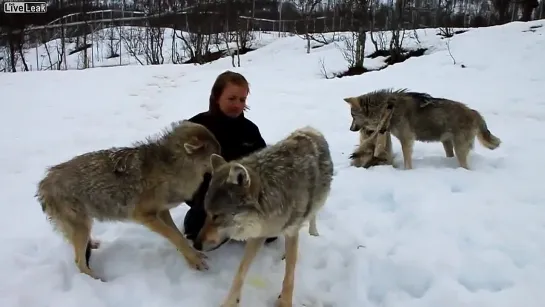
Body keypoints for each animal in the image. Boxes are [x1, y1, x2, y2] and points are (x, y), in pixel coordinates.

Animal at [35, 120, 221, 282]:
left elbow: (178, 235)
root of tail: (43, 183)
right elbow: (175, 236)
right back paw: (96, 279)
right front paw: (194, 260)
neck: (171, 169)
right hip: (81, 227)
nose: (225, 163)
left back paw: (93, 243)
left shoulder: (162, 211)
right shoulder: (144, 216)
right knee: (79, 262)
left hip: (84, 225)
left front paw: (192, 256)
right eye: (215, 154)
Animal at [193, 127, 334, 307]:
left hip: (317, 201)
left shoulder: (291, 230)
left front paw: (285, 302)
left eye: (216, 216)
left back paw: (313, 233)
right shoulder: (258, 235)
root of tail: (311, 129)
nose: (195, 244)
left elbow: (289, 276)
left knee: (312, 216)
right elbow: (240, 272)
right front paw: (230, 302)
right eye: (207, 212)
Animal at [344, 89, 502, 171]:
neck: (388, 109)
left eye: (352, 116)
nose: (350, 129)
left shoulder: (406, 140)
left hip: (459, 149)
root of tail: (474, 112)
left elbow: (407, 162)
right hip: (447, 144)